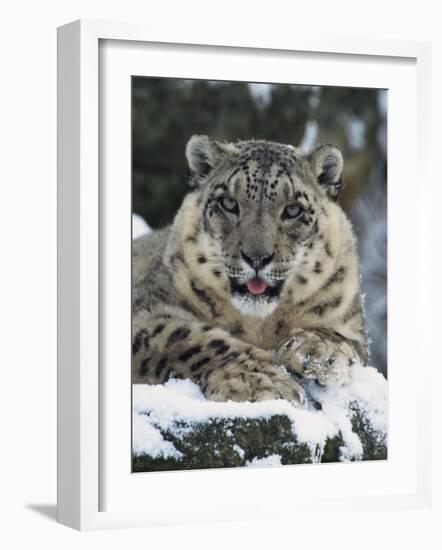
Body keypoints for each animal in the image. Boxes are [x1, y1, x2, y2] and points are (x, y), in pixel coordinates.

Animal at [132, 136, 370, 408]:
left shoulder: (350, 322)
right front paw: (260, 381)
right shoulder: (147, 308)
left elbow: (344, 339)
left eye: (293, 210)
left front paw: (318, 352)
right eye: (229, 203)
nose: (257, 257)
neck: (259, 325)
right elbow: (186, 337)